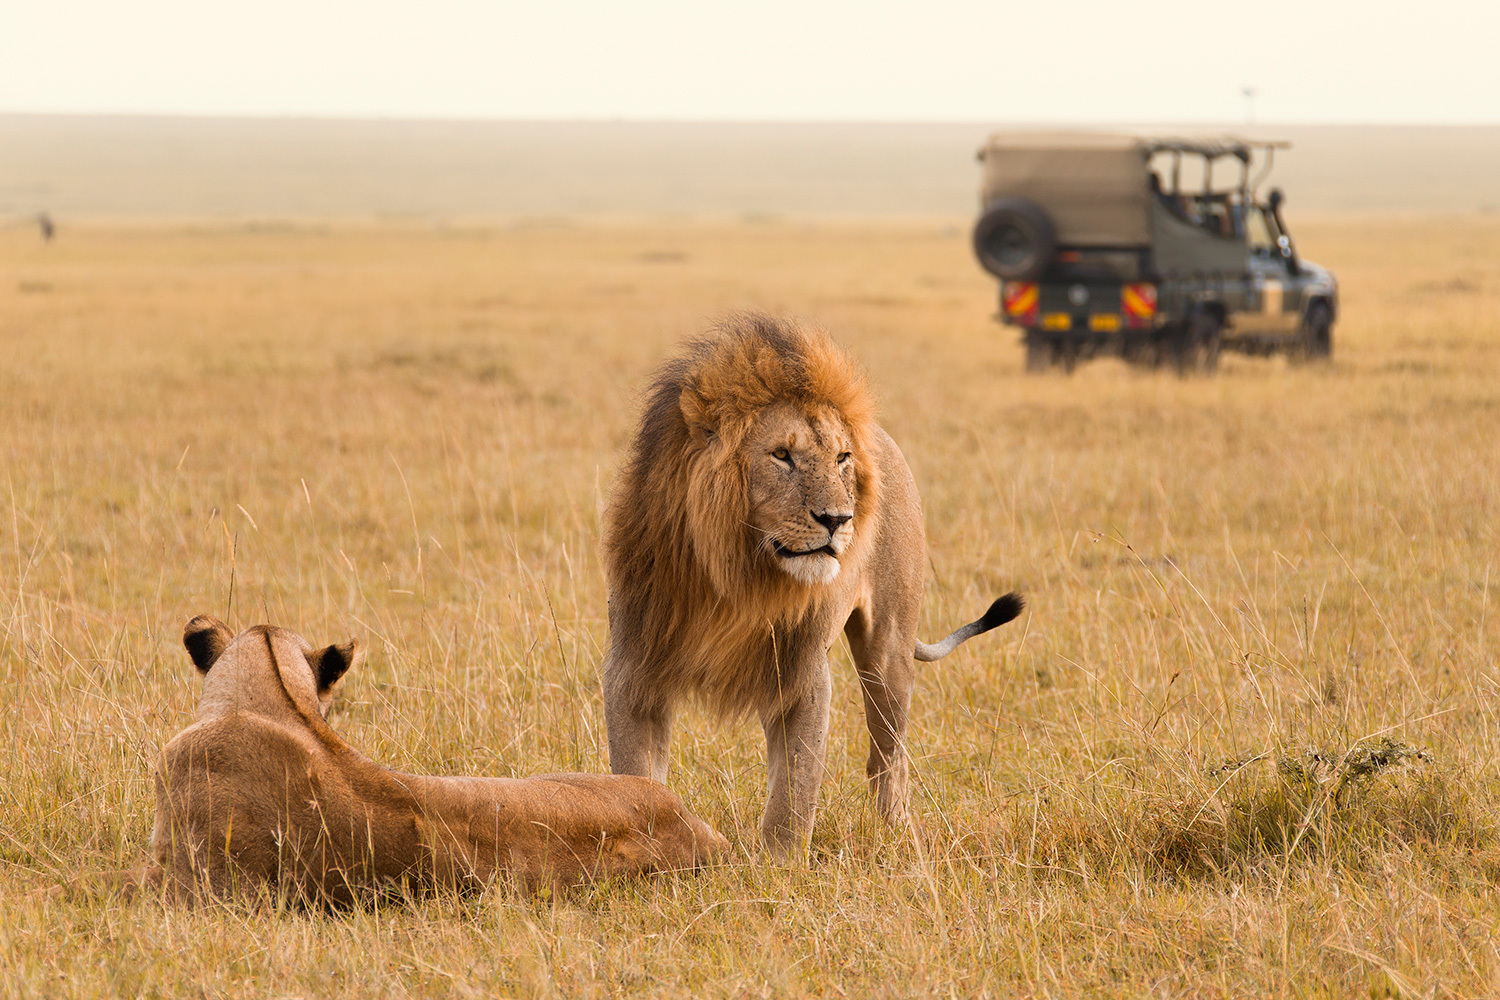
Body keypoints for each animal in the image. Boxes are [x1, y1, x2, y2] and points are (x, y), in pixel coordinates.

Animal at [602, 313, 1024, 853]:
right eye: (782, 455)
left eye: (841, 458)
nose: (838, 519)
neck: (736, 577)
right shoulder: (634, 668)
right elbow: (636, 776)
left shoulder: (802, 674)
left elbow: (794, 790)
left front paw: (777, 866)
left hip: (889, 650)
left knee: (888, 756)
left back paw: (898, 836)